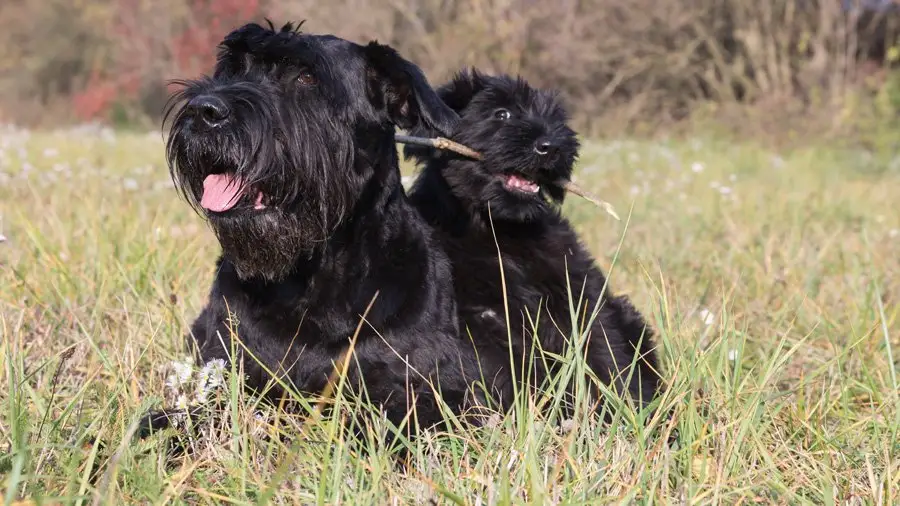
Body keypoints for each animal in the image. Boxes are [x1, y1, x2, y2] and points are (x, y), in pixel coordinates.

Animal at [404, 69, 664, 414]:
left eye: (554, 119)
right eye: (501, 114)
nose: (552, 147)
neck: (499, 231)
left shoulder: (579, 297)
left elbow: (604, 356)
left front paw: (631, 413)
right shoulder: (477, 322)